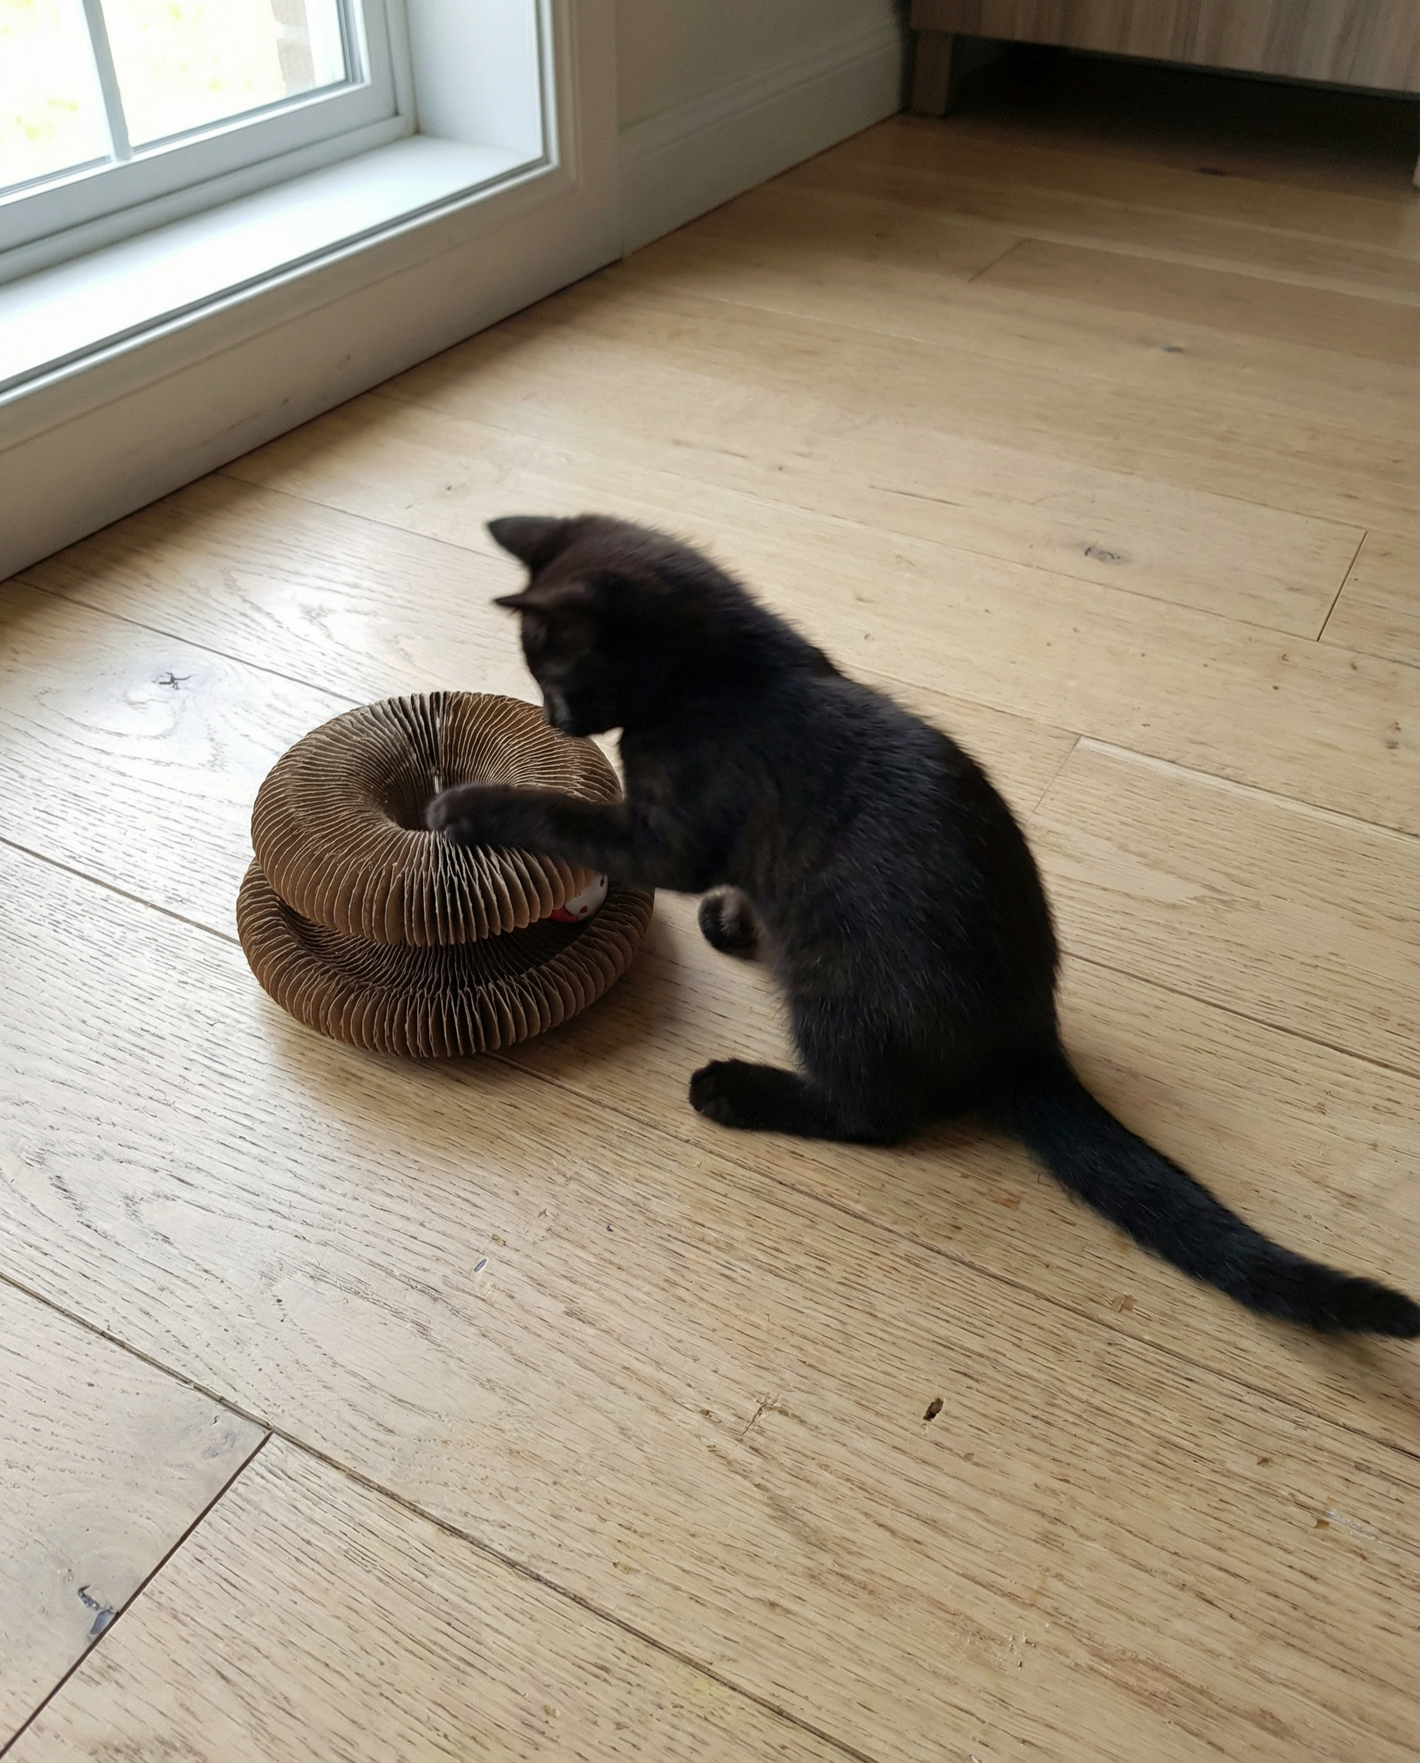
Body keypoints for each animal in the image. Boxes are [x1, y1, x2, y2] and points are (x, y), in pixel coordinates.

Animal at [427, 513, 1419, 1338]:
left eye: (552, 672)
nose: (554, 717)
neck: (729, 666)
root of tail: (1028, 1043)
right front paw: (735, 921)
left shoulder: (667, 836)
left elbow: (570, 822)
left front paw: (467, 808)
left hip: (834, 986)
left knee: (874, 1116)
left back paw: (735, 1090)